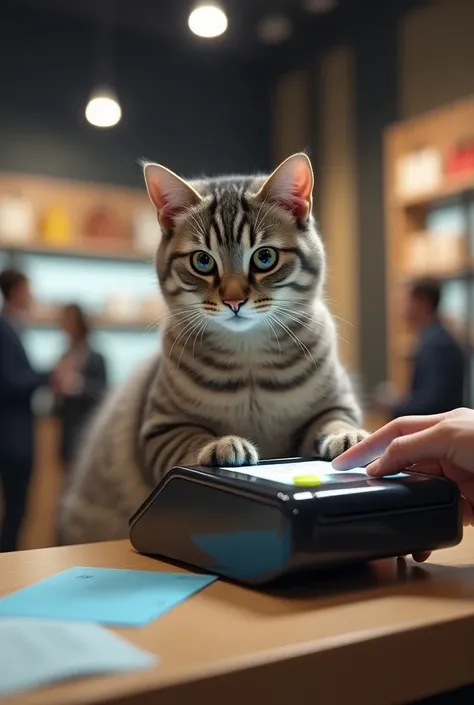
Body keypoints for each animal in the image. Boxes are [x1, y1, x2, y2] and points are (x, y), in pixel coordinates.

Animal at [59, 151, 368, 540]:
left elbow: (335, 420)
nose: (234, 300)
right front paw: (221, 444)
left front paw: (350, 436)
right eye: (202, 261)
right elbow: (191, 439)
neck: (249, 357)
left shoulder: (335, 405)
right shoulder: (161, 427)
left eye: (264, 257)